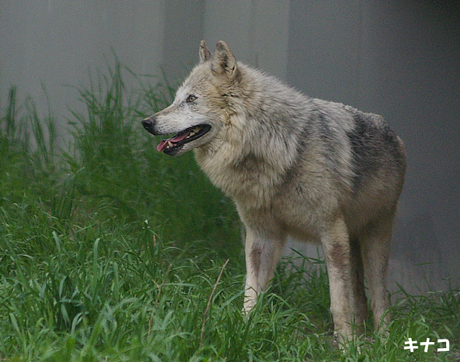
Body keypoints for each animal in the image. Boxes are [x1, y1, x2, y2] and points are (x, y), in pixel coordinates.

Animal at [143, 41, 406, 344]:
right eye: (176, 99)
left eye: (191, 99)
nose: (147, 122)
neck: (278, 150)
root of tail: (392, 133)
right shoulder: (262, 236)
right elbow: (251, 294)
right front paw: (242, 332)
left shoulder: (332, 233)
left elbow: (339, 303)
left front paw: (347, 348)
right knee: (361, 298)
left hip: (375, 241)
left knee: (380, 299)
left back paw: (383, 344)